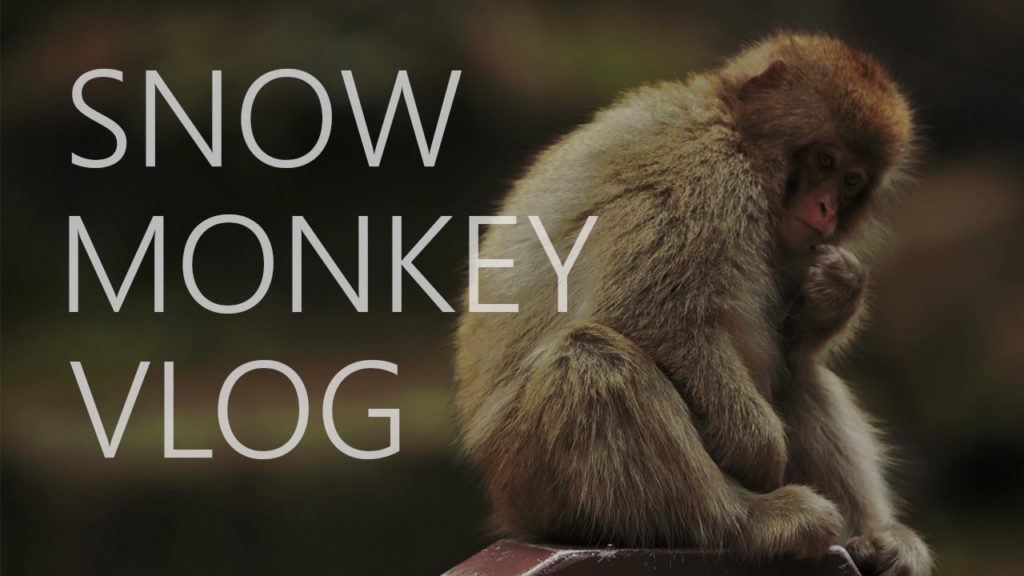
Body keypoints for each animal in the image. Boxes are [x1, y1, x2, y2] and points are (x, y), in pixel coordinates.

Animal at [454, 33, 932, 576]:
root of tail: (508, 506)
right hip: (532, 482)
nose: (827, 210)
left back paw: (874, 538)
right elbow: (648, 313)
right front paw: (760, 452)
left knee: (800, 377)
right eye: (825, 160)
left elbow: (791, 348)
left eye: (853, 180)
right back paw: (749, 520)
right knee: (590, 357)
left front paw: (840, 289)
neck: (739, 132)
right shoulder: (704, 174)